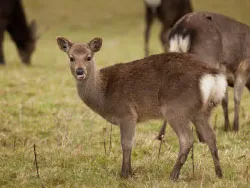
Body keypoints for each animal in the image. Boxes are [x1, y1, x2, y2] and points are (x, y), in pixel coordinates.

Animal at [56, 36, 227, 179]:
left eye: (88, 57)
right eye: (71, 57)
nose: (80, 71)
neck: (103, 94)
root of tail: (212, 77)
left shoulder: (126, 113)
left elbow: (126, 143)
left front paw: (124, 174)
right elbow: (132, 142)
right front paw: (131, 172)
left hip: (175, 107)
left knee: (187, 139)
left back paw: (173, 175)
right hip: (201, 111)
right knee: (211, 136)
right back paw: (218, 173)